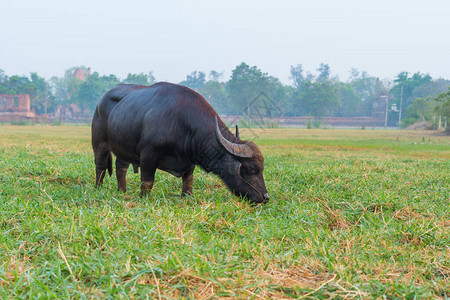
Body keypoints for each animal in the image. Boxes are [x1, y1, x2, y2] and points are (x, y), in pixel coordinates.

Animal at [89, 82, 268, 204]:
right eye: (252, 168)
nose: (265, 197)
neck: (181, 123)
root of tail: (100, 102)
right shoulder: (148, 154)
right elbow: (147, 182)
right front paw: (143, 199)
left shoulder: (190, 160)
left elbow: (188, 181)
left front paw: (187, 197)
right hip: (99, 144)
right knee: (100, 167)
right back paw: (98, 188)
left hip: (123, 148)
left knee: (121, 167)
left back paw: (122, 191)